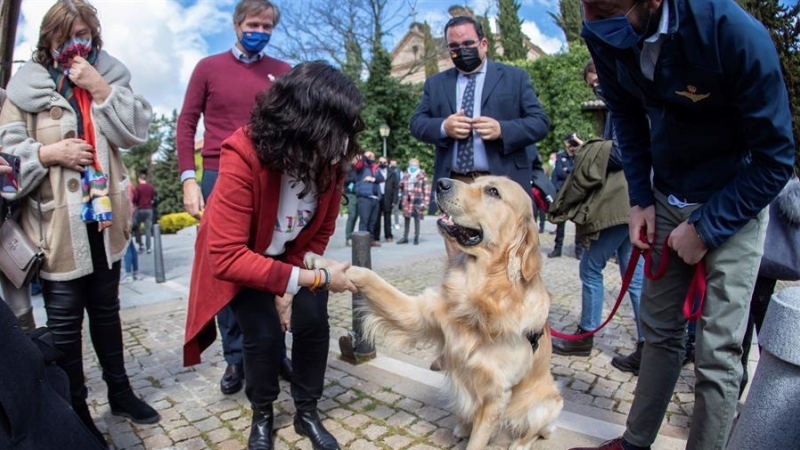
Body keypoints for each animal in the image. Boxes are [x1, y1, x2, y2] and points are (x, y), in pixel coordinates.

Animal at [304, 177, 564, 450]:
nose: (441, 182)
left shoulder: (497, 393)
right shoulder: (417, 313)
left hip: (549, 405)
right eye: (475, 180)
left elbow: (478, 441)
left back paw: (518, 443)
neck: (481, 289)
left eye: (493, 191)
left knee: (533, 431)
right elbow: (367, 274)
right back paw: (462, 426)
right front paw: (322, 262)